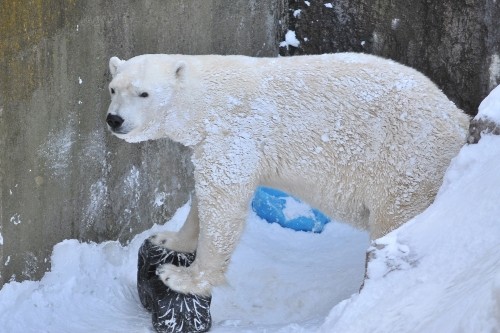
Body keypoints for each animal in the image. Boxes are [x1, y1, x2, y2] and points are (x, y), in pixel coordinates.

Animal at [105, 52, 468, 296]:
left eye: (143, 93)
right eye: (112, 88)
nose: (114, 119)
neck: (205, 102)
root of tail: (458, 117)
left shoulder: (234, 134)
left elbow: (223, 204)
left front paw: (181, 278)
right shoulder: (211, 143)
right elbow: (204, 194)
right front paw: (168, 239)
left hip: (405, 162)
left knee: (395, 218)